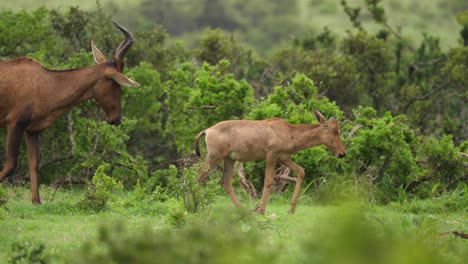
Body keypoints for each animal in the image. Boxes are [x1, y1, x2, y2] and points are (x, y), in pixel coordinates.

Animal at [0, 21, 139, 204]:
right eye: (116, 83)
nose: (116, 119)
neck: (43, 82)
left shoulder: (32, 131)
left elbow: (34, 164)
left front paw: (36, 201)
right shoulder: (14, 124)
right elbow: (10, 165)